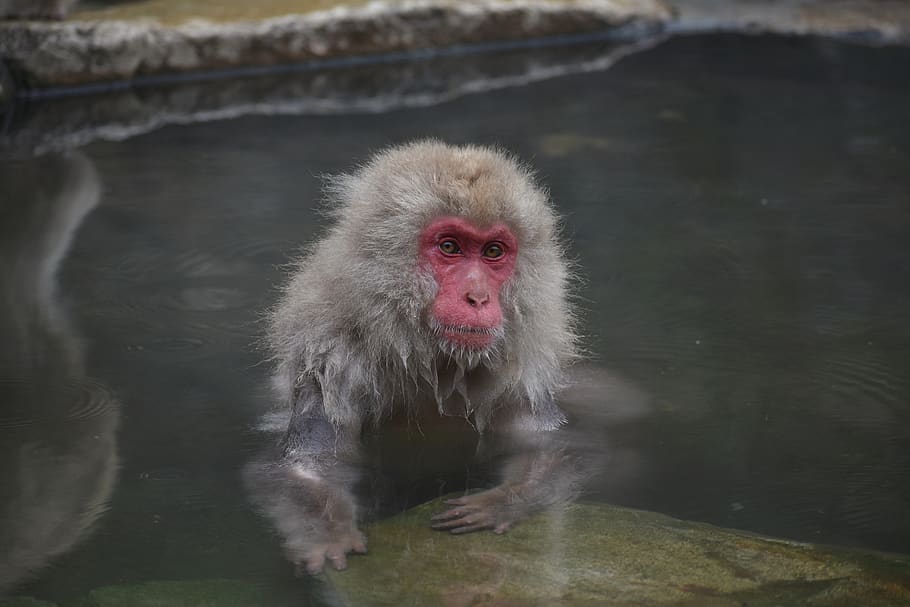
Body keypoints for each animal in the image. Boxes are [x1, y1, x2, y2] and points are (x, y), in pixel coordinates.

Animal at [246, 140, 580, 576]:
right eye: (449, 247)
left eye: (493, 252)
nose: (478, 297)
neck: (431, 357)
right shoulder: (329, 359)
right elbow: (311, 465)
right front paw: (325, 532)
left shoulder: (522, 371)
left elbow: (546, 447)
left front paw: (499, 503)